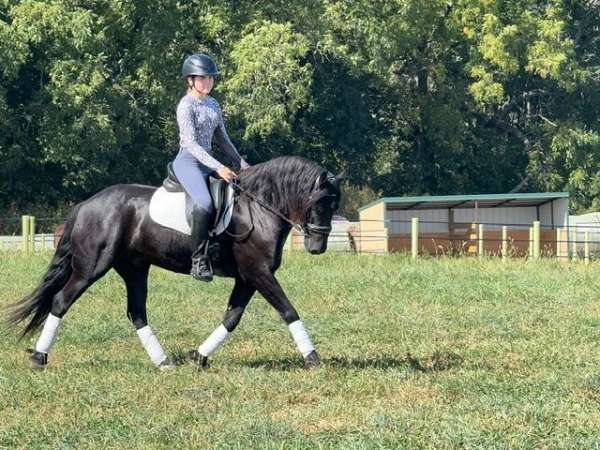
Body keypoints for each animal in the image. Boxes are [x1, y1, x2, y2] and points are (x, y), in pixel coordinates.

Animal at [5, 156, 342, 370]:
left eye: (334, 203)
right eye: (317, 201)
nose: (317, 247)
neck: (257, 209)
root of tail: (86, 204)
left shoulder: (248, 277)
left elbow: (232, 318)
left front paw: (199, 356)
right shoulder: (257, 272)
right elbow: (288, 310)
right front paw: (313, 358)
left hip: (135, 269)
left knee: (136, 312)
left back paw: (163, 362)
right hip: (91, 267)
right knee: (61, 301)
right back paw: (39, 358)